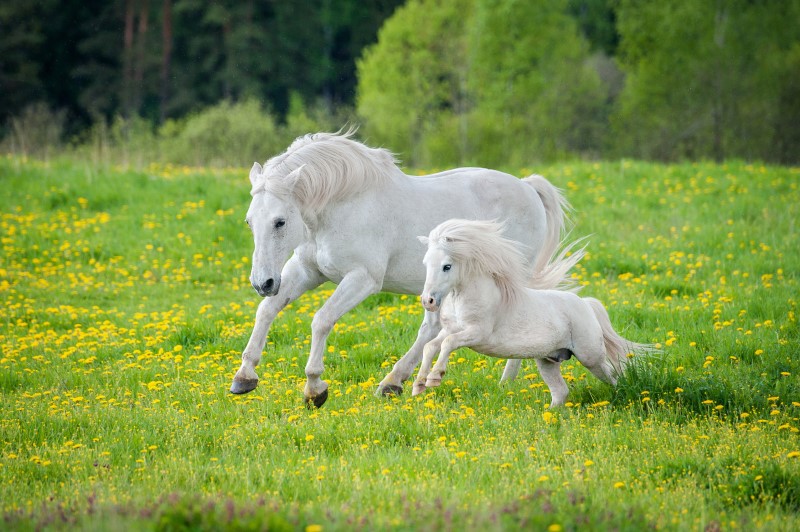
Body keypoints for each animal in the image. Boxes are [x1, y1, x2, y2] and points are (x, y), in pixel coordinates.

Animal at [231, 130, 579, 407]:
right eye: (248, 221)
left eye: (280, 222)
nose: (262, 283)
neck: (340, 205)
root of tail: (528, 187)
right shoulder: (306, 271)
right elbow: (267, 310)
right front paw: (244, 377)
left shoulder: (362, 279)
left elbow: (321, 320)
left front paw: (315, 389)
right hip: (439, 288)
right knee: (432, 327)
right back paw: (394, 382)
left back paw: (505, 381)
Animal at [414, 219, 652, 407]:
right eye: (425, 263)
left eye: (446, 266)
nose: (428, 301)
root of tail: (586, 304)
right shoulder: (451, 329)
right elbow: (431, 346)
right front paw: (418, 385)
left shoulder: (477, 334)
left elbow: (448, 344)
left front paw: (435, 378)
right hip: (548, 360)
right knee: (561, 392)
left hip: (590, 357)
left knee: (613, 376)